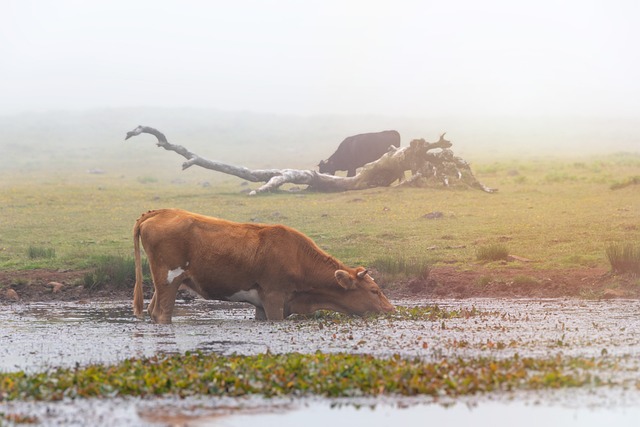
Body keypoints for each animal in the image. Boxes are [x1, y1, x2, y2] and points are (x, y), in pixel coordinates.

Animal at [134, 209, 396, 322]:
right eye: (374, 290)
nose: (392, 310)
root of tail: (161, 212)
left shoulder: (261, 306)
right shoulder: (274, 298)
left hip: (164, 282)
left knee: (152, 310)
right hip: (169, 279)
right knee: (162, 313)